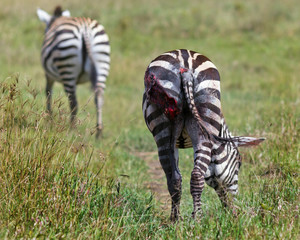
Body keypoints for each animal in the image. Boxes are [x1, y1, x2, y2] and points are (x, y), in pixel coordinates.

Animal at [36, 6, 110, 138]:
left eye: (45, 29)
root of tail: (85, 30)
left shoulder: (48, 75)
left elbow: (48, 92)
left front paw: (49, 118)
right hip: (102, 63)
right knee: (99, 98)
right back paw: (98, 133)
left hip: (67, 67)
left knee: (73, 102)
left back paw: (72, 129)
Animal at [142, 49, 264, 220]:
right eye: (239, 163)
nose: (234, 212)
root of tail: (184, 64)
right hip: (204, 112)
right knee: (195, 176)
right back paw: (195, 219)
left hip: (162, 130)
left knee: (177, 178)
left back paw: (178, 219)